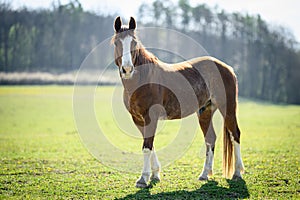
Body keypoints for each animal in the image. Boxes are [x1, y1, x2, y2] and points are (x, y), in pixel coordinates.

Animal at [111, 16, 245, 188]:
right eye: (116, 43)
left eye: (134, 43)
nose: (127, 69)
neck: (144, 79)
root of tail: (227, 68)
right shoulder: (138, 119)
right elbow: (150, 145)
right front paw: (155, 174)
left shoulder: (150, 118)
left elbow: (147, 147)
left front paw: (143, 179)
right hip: (205, 111)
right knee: (210, 139)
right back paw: (204, 174)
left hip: (227, 108)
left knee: (235, 134)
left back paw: (237, 173)